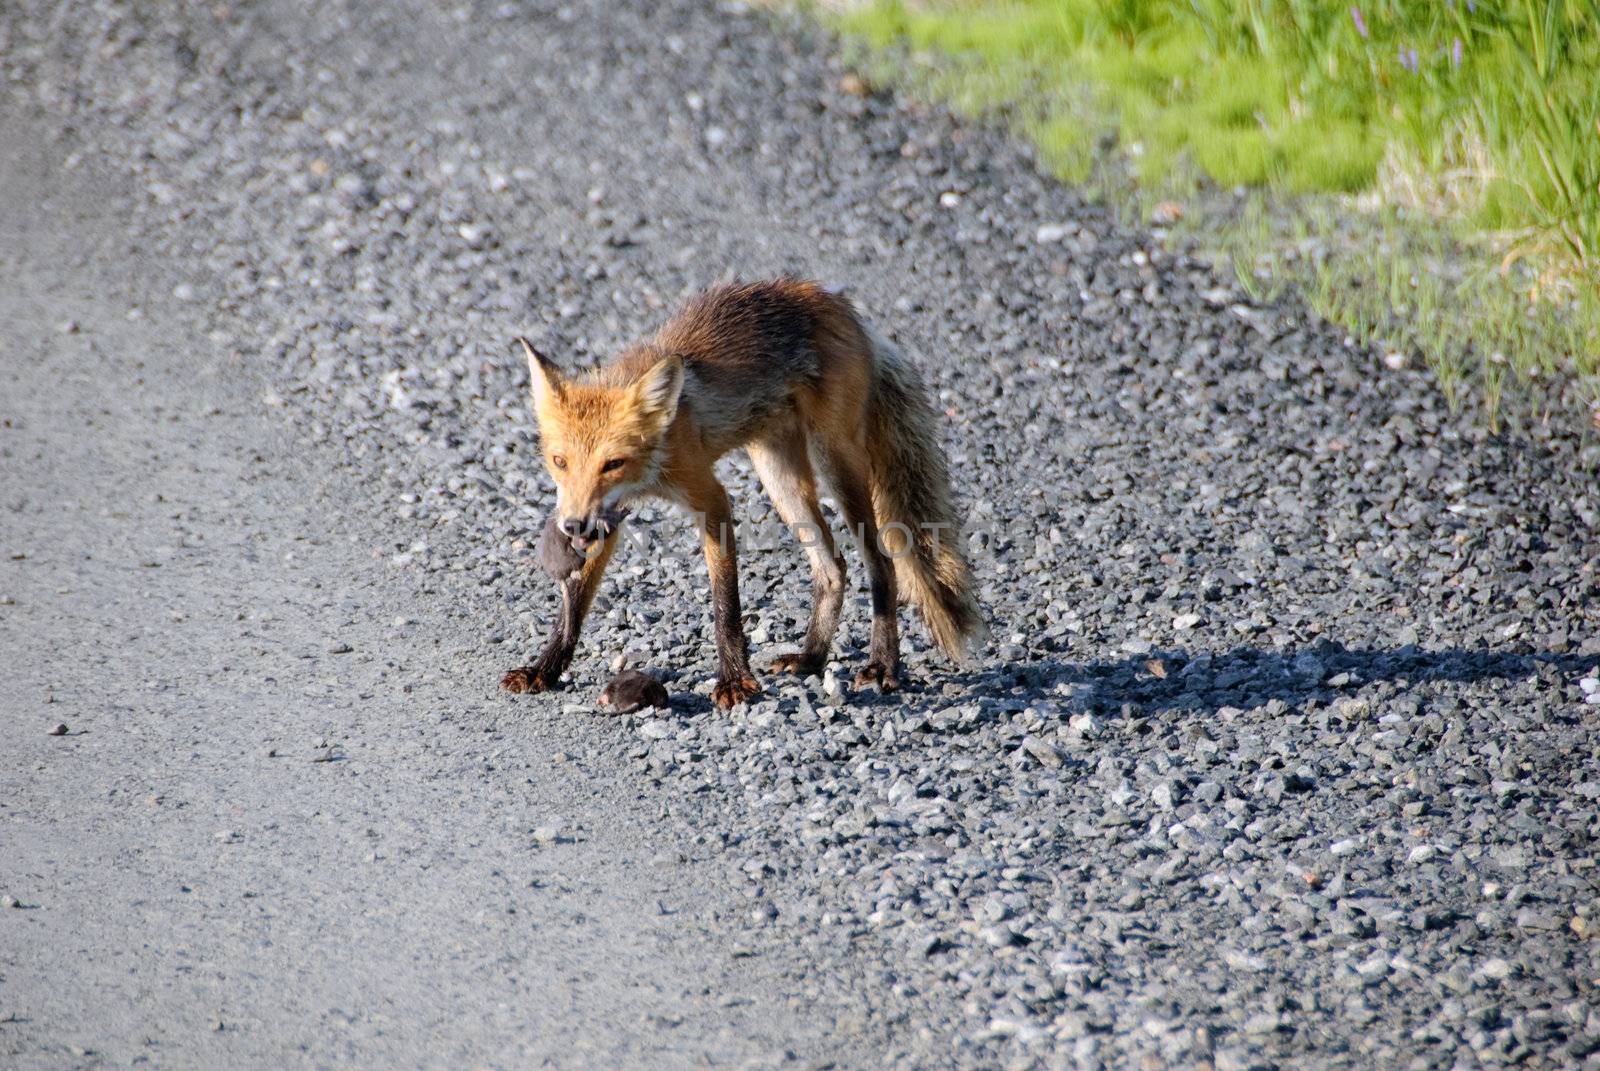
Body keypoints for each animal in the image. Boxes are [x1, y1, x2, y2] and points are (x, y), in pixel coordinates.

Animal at [499, 280, 979, 704]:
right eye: (559, 461)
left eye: (612, 464)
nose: (571, 525)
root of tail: (839, 305)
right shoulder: (609, 515)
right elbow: (574, 606)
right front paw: (545, 668)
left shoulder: (710, 498)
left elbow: (725, 605)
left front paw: (734, 680)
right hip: (778, 476)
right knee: (833, 568)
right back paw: (812, 657)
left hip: (835, 463)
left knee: (882, 563)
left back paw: (882, 664)